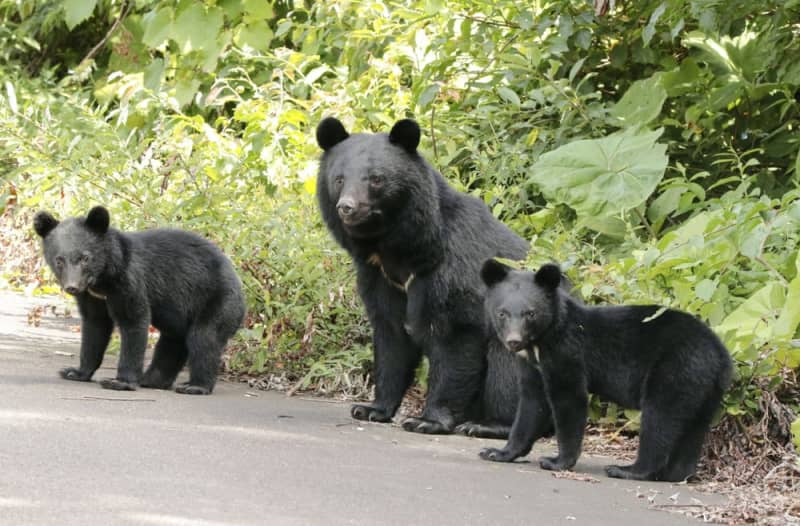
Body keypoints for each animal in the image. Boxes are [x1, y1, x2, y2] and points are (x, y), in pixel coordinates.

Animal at [33, 206, 247, 396]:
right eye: (59, 260)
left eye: (85, 258)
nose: (73, 287)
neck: (103, 280)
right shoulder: (92, 296)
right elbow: (95, 326)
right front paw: (76, 372)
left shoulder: (129, 281)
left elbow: (133, 321)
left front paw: (121, 382)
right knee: (173, 342)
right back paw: (153, 379)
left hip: (217, 301)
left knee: (204, 338)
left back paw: (195, 386)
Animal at [316, 117, 552, 440]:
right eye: (339, 179)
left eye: (375, 179)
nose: (347, 207)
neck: (398, 250)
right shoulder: (378, 277)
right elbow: (391, 336)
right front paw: (371, 408)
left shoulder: (451, 271)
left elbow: (455, 337)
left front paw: (427, 420)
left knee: (509, 368)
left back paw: (489, 425)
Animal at [478, 262, 736, 484]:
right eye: (502, 313)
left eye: (530, 313)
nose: (513, 341)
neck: (541, 343)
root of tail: (721, 353)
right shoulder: (532, 365)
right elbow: (532, 404)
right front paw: (497, 452)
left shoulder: (567, 353)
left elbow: (569, 399)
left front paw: (556, 461)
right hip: (703, 387)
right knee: (694, 428)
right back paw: (675, 474)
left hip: (675, 369)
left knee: (659, 419)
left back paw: (628, 470)